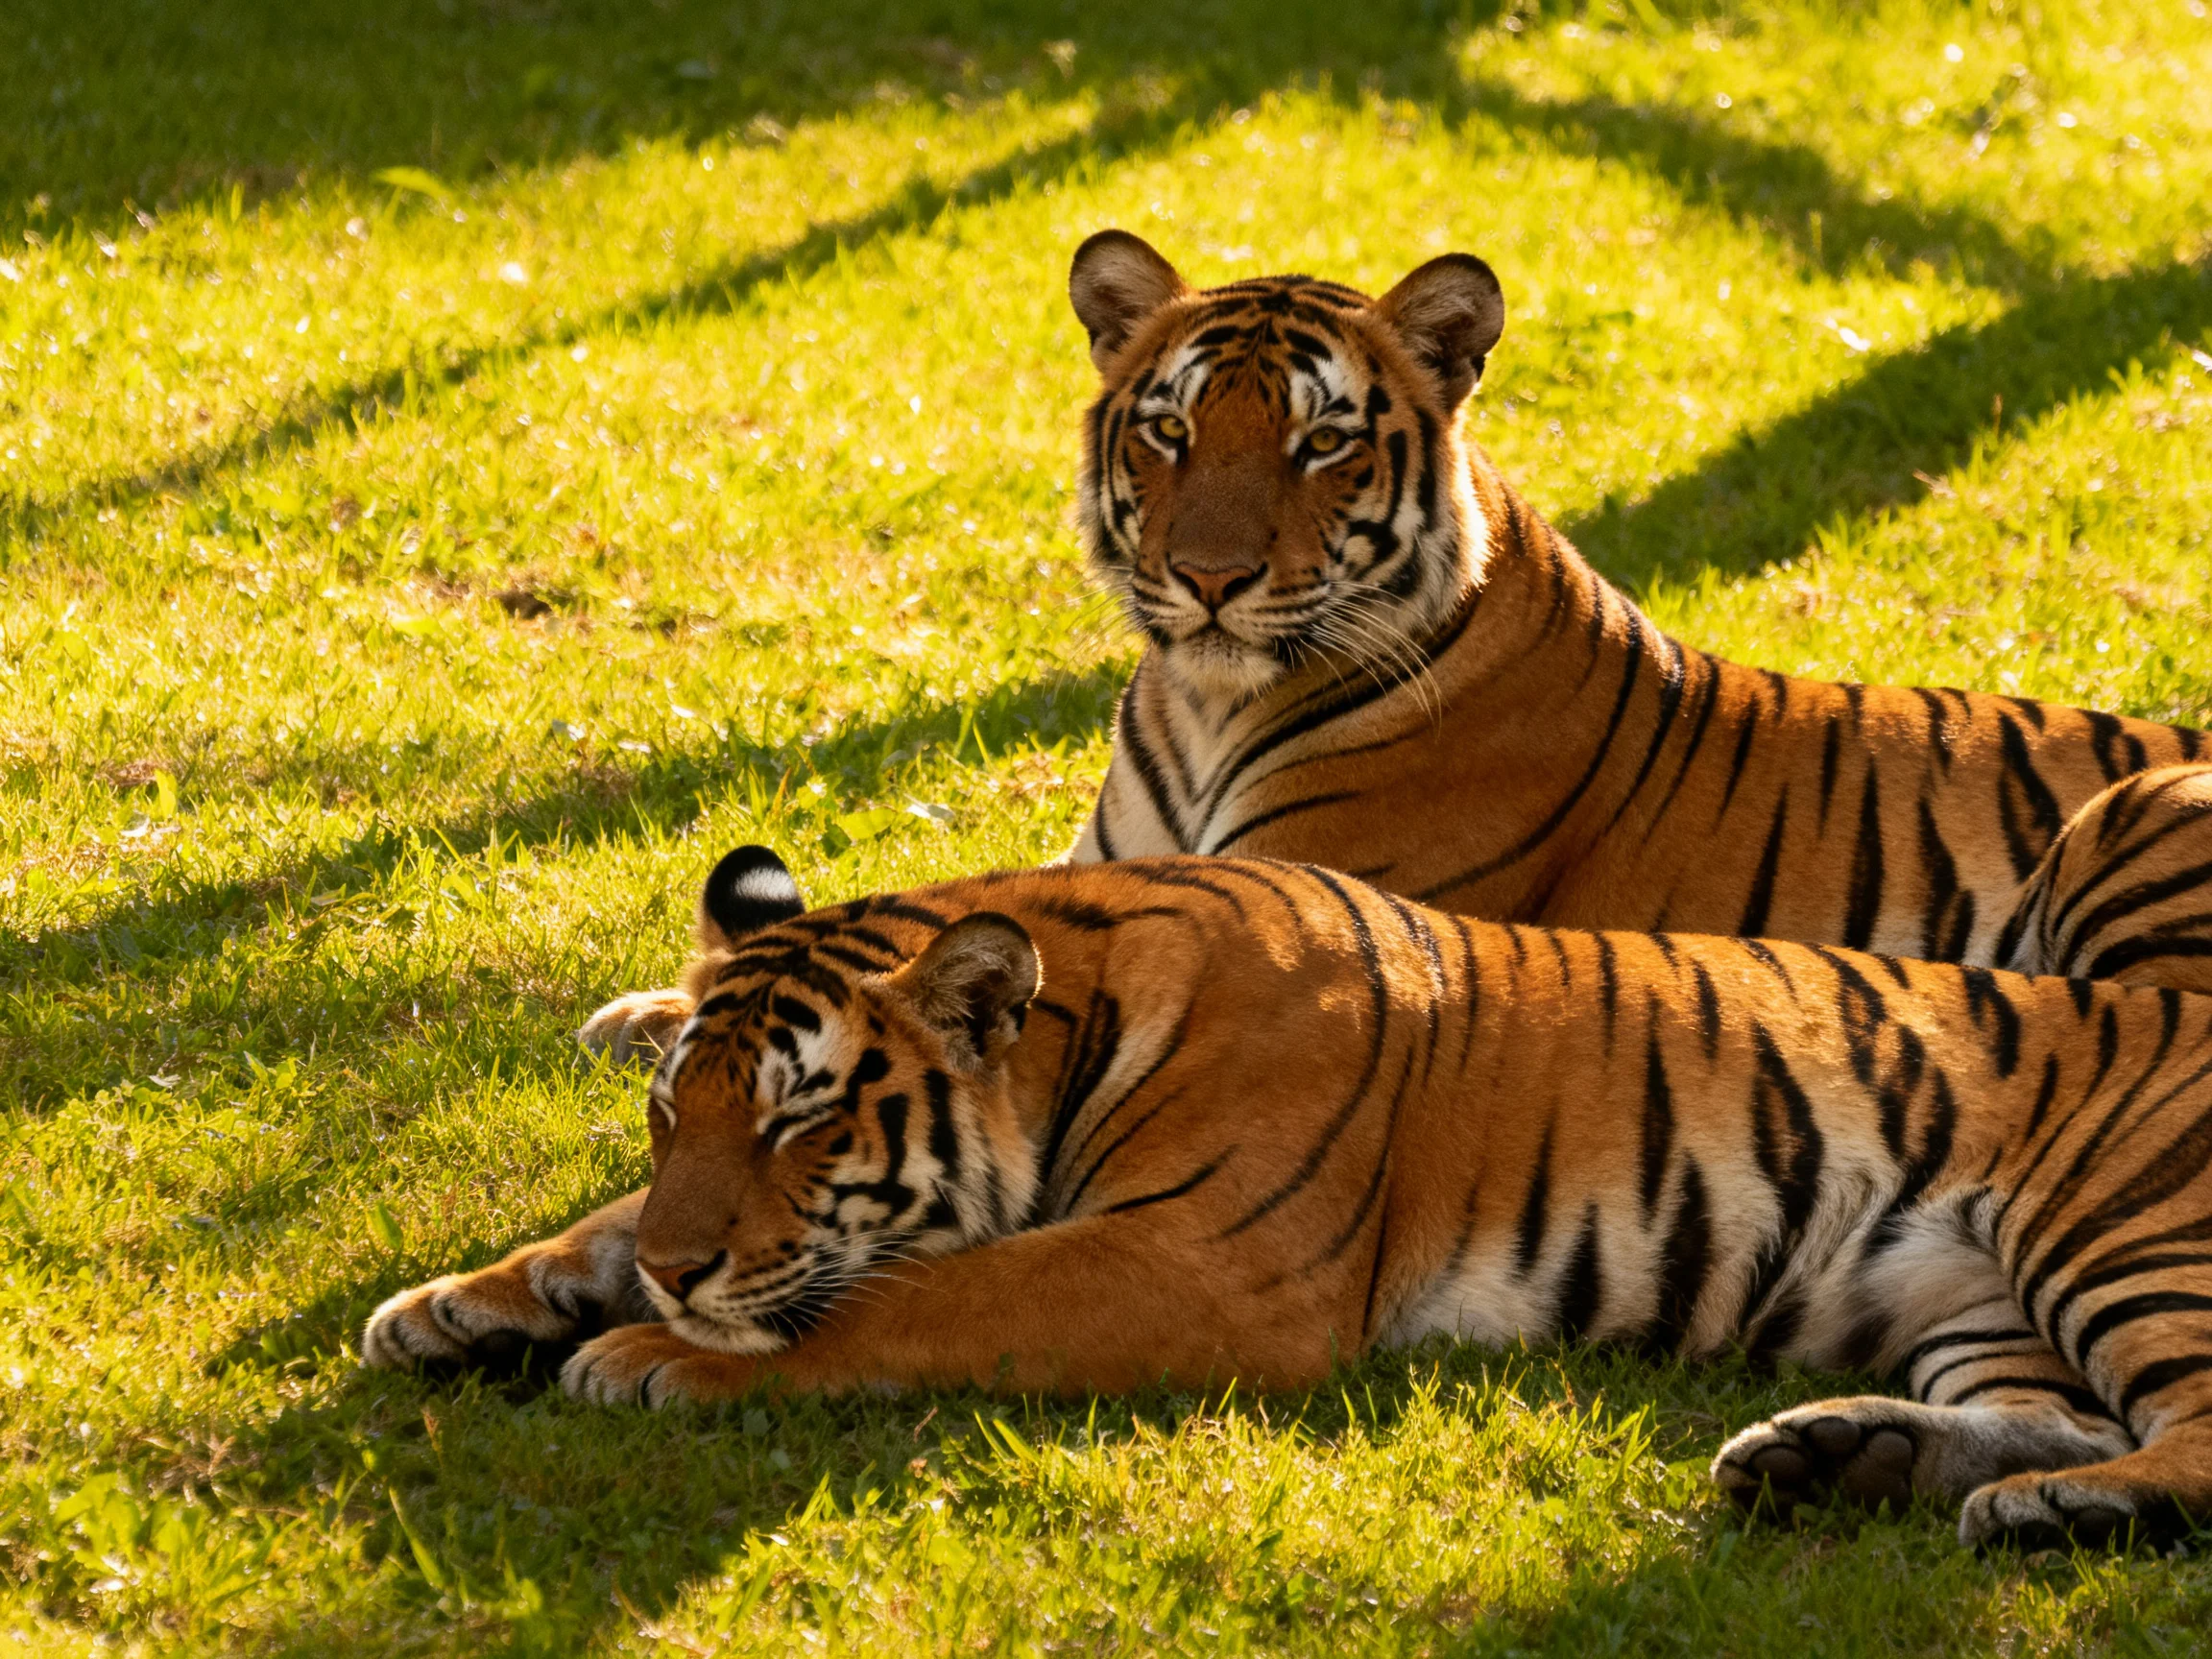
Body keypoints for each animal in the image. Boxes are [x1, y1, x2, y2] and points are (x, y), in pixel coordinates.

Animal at [364, 844, 2212, 1548]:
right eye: (671, 1118)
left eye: (805, 1123)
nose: (688, 1275)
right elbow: (592, 1232)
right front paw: (456, 1307)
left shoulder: (1205, 1263)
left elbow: (915, 1292)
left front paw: (652, 1354)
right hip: (1967, 1302)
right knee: (2046, 1414)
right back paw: (1847, 1460)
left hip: (2119, 1239)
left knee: (2184, 1440)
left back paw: (2053, 1511)